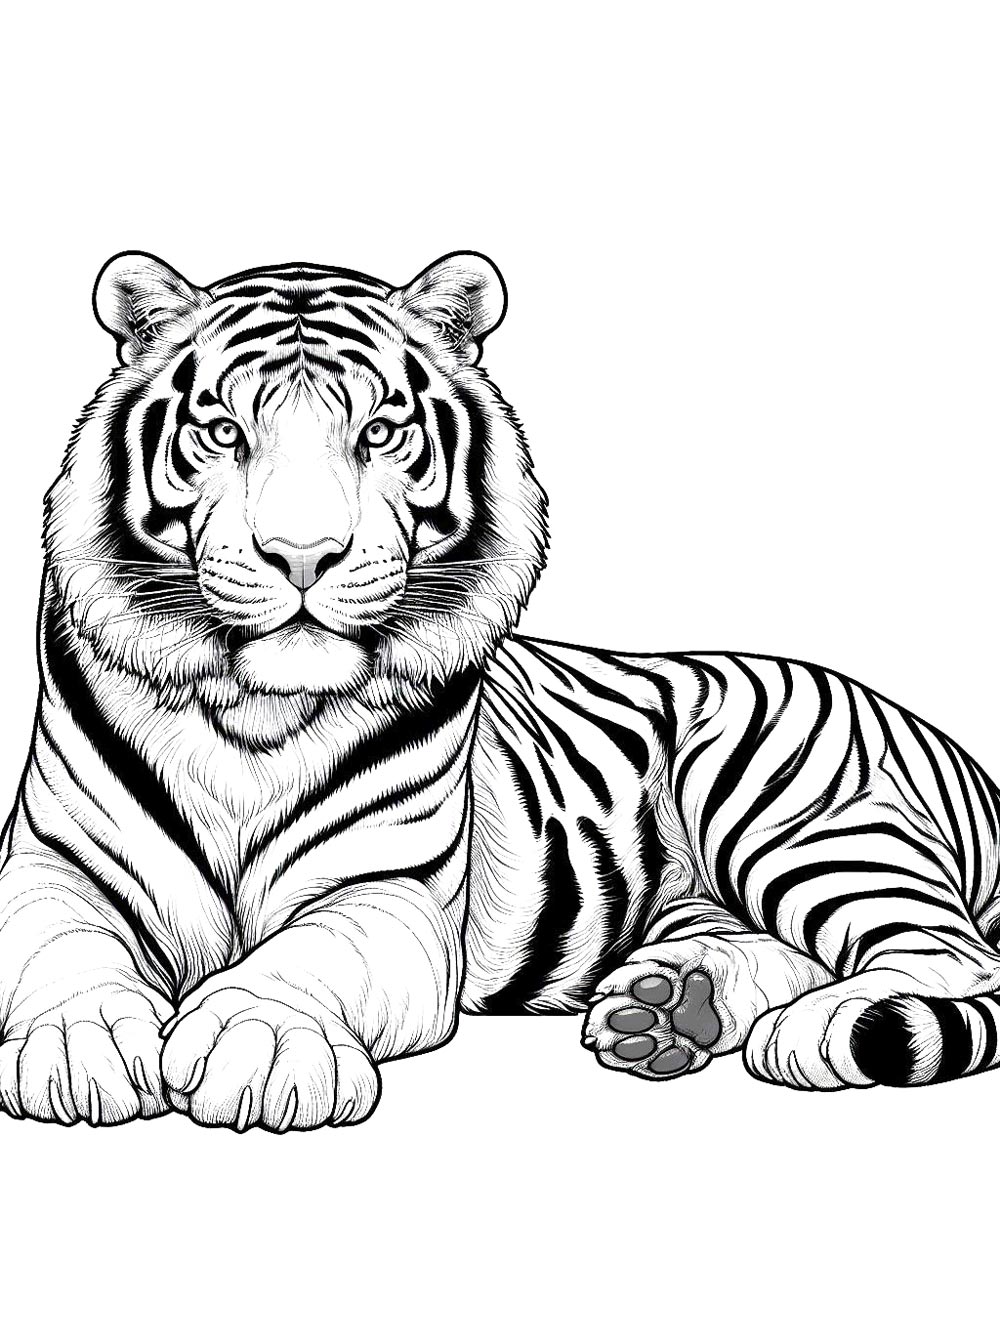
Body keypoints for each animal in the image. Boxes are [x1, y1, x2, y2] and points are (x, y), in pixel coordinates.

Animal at [1, 249, 999, 1134]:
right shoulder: (50, 865)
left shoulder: (388, 890)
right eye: (223, 433)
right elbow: (60, 949)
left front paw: (262, 1042)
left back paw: (814, 1030)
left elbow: (305, 955)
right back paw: (666, 1007)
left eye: (379, 432)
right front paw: (81, 1045)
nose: (303, 556)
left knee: (950, 951)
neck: (258, 713)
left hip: (797, 815)